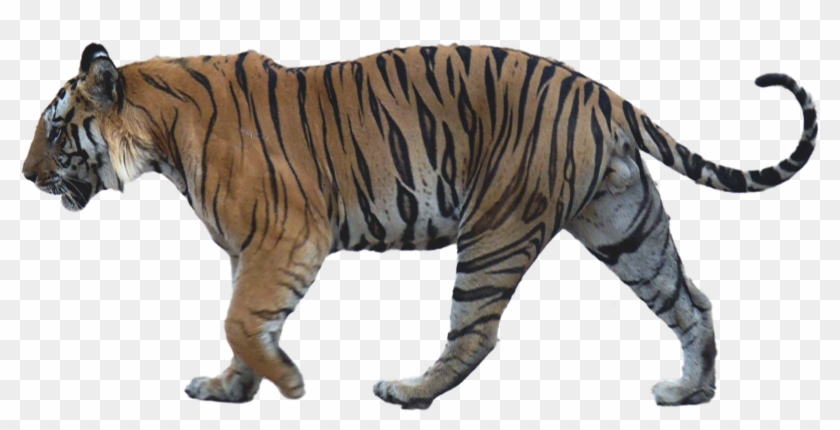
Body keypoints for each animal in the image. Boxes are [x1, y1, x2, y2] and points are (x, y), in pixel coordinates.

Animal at [22, 43, 817, 408]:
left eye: (56, 132)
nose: (26, 176)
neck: (160, 134)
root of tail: (598, 90)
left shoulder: (286, 237)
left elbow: (242, 321)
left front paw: (288, 384)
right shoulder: (251, 251)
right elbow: (242, 325)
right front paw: (230, 389)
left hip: (496, 230)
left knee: (476, 332)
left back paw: (408, 393)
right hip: (625, 225)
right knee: (692, 301)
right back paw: (691, 393)